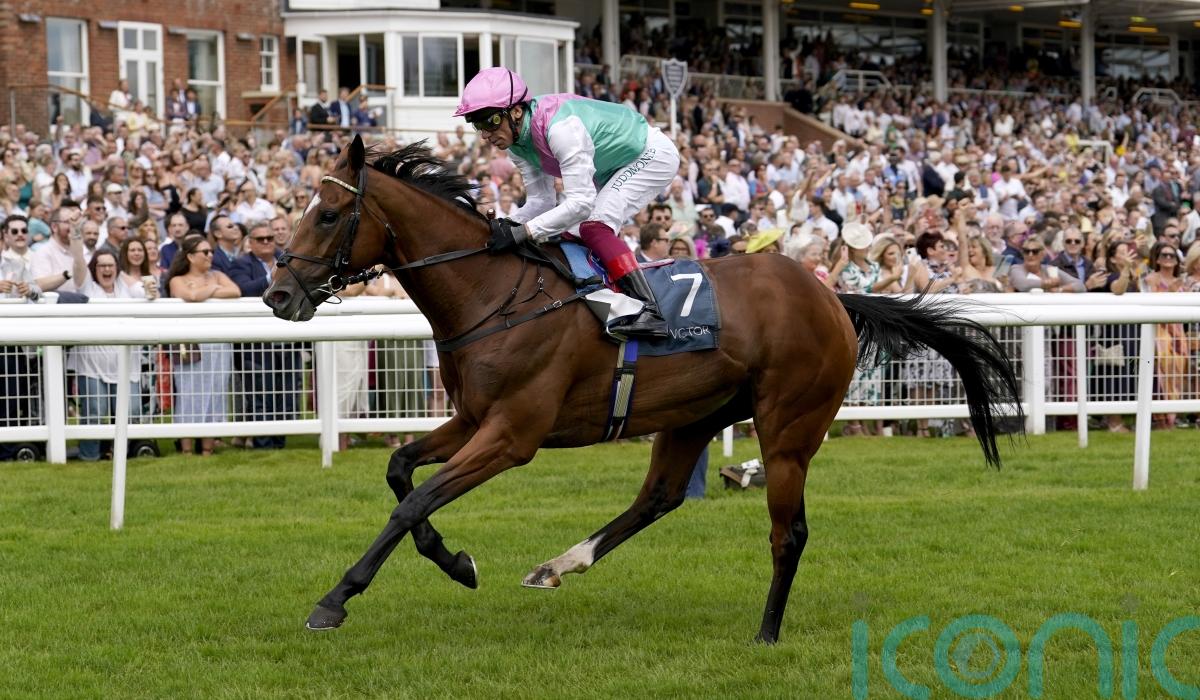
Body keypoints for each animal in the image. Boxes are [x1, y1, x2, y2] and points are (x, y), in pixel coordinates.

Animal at [264, 135, 1021, 643]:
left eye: (327, 215)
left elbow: (413, 499)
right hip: (693, 414)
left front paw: (335, 599)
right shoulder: (475, 419)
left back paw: (767, 631)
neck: (492, 292)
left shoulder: (513, 434)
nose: (277, 294)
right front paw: (456, 561)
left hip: (789, 427)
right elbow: (400, 471)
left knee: (789, 531)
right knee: (658, 497)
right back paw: (558, 565)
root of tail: (832, 294)